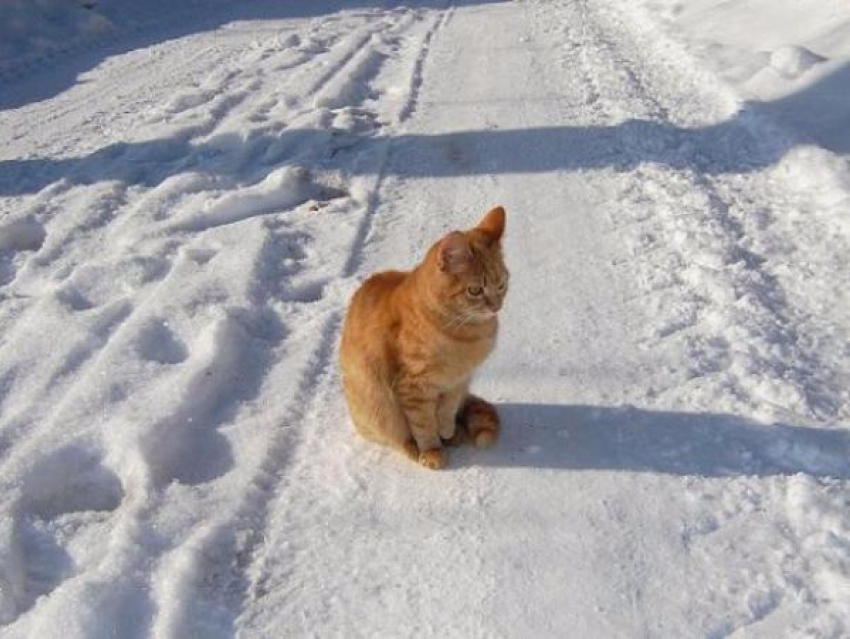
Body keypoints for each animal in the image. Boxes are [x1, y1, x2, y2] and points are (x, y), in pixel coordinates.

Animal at [340, 206, 510, 470]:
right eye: (475, 290)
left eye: (501, 285)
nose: (496, 307)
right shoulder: (413, 388)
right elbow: (423, 425)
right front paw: (431, 450)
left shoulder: (457, 381)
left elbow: (446, 410)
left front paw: (447, 430)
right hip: (378, 407)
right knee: (396, 436)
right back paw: (412, 449)